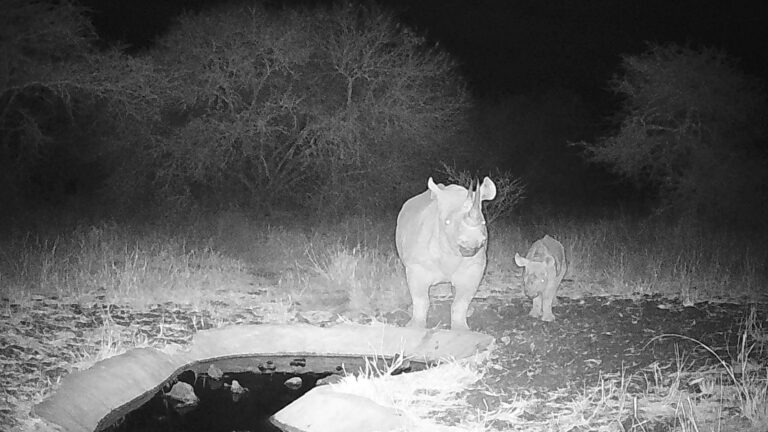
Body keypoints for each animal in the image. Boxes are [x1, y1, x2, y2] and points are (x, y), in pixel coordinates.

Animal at [395, 177, 497, 331]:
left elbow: (461, 302)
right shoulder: (417, 266)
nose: (472, 241)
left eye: (484, 223)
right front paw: (414, 326)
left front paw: (461, 329)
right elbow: (421, 300)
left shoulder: (474, 267)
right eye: (447, 222)